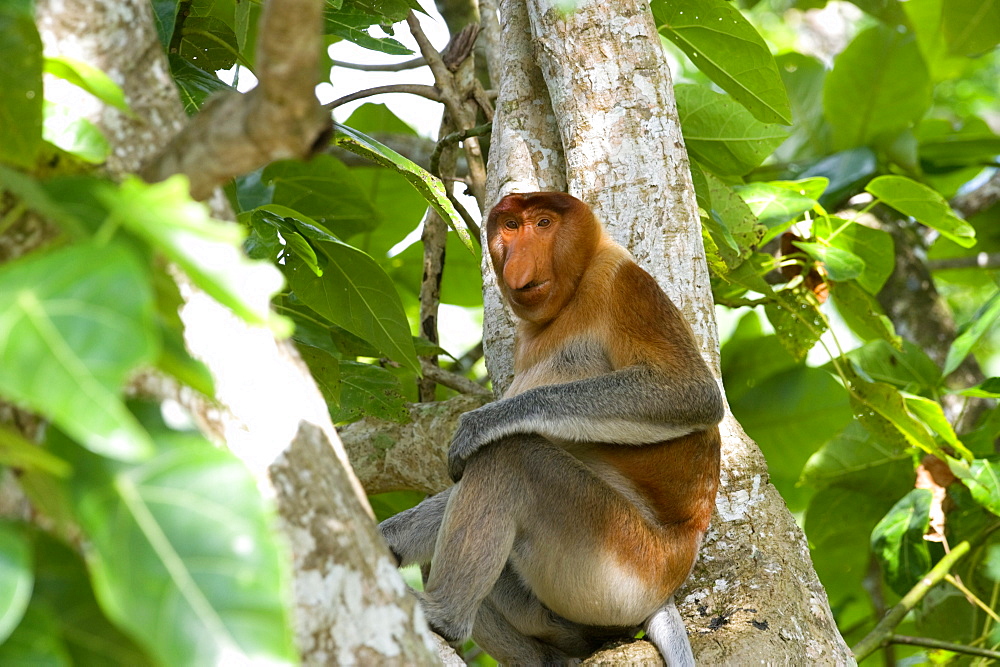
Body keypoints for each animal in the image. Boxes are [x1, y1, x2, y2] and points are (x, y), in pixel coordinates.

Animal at [378, 190, 724, 664]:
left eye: (543, 223)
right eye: (510, 226)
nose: (518, 261)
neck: (572, 296)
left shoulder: (622, 284)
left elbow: (691, 393)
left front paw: (481, 423)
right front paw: (383, 540)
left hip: (618, 561)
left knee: (512, 457)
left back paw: (440, 616)